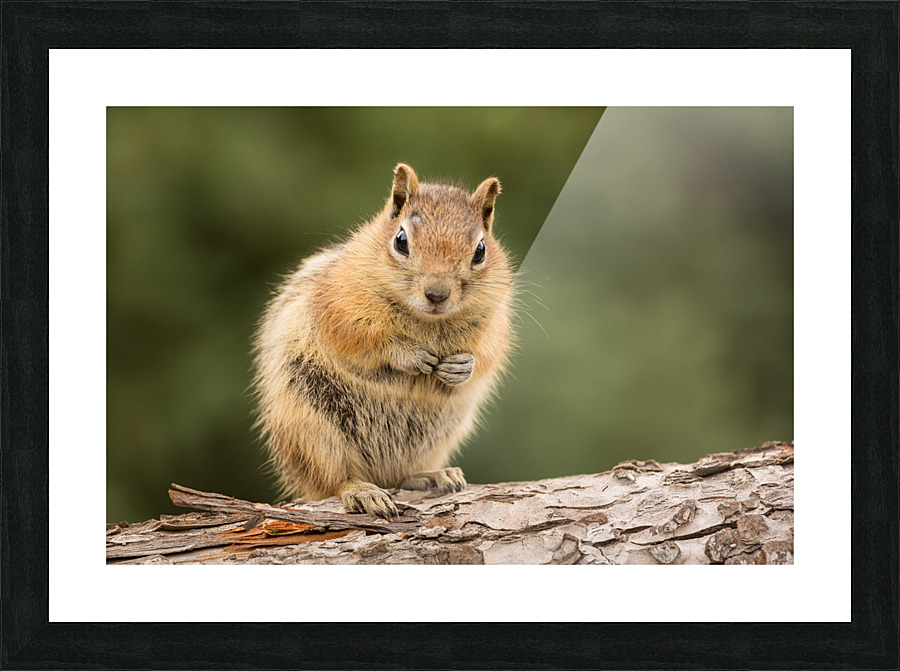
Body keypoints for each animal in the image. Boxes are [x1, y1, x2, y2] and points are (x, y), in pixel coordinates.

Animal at [253, 163, 514, 519]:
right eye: (401, 241)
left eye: (480, 251)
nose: (437, 294)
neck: (428, 322)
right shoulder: (340, 303)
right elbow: (360, 337)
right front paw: (408, 355)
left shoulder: (496, 317)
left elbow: (489, 353)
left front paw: (462, 366)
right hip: (310, 427)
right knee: (335, 479)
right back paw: (363, 490)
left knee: (402, 475)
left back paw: (433, 475)